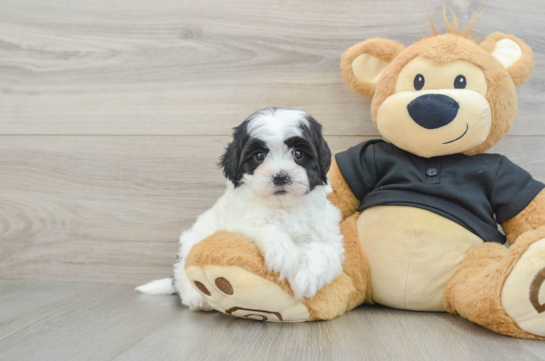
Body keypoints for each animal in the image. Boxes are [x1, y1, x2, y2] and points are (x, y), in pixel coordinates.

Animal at [138, 107, 346, 310]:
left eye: (298, 154)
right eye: (259, 156)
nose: (280, 176)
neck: (281, 207)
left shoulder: (327, 231)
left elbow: (323, 248)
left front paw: (306, 277)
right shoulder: (235, 223)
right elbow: (265, 227)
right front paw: (284, 253)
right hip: (189, 246)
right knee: (183, 275)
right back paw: (197, 298)